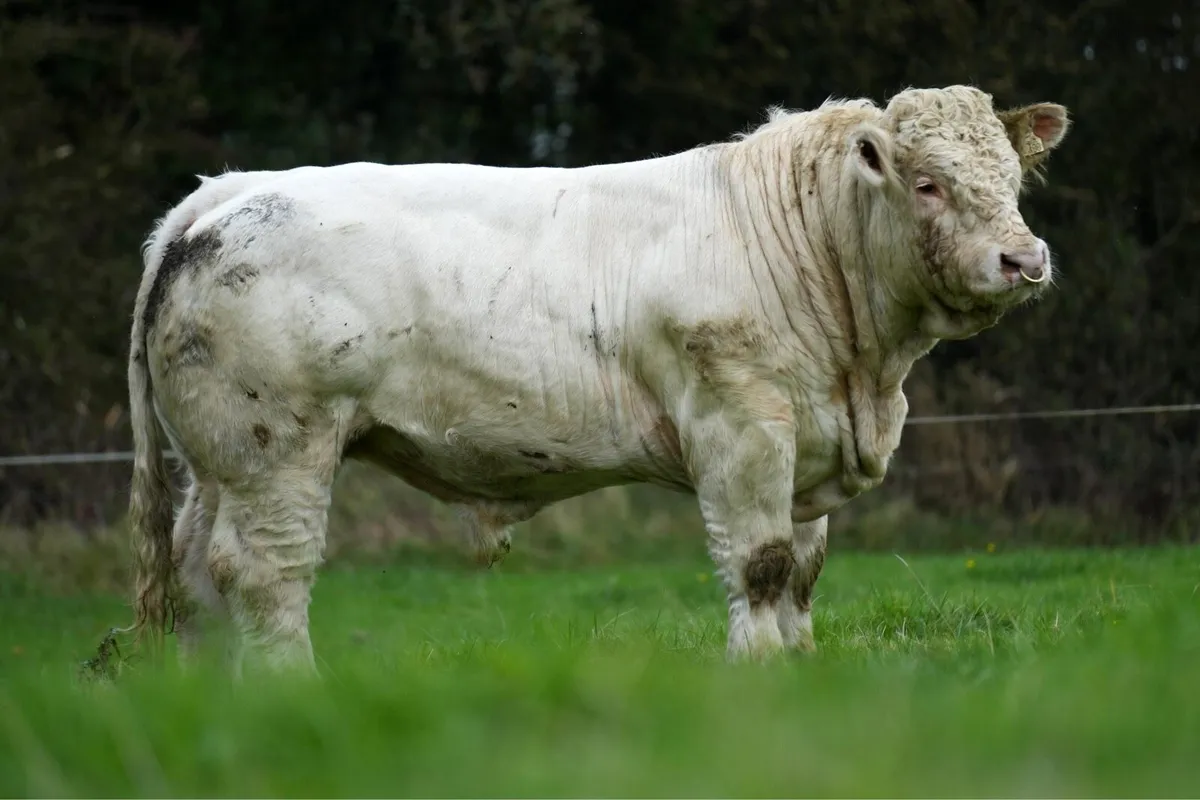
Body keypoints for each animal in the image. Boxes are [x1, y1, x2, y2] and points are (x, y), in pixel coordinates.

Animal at [125, 84, 1069, 675]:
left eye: (1013, 178)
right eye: (929, 182)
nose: (1024, 259)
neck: (866, 372)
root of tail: (229, 193)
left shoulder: (808, 442)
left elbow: (802, 571)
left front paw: (802, 669)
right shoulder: (742, 429)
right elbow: (759, 564)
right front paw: (759, 672)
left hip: (217, 461)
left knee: (198, 576)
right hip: (276, 450)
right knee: (265, 574)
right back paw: (292, 689)